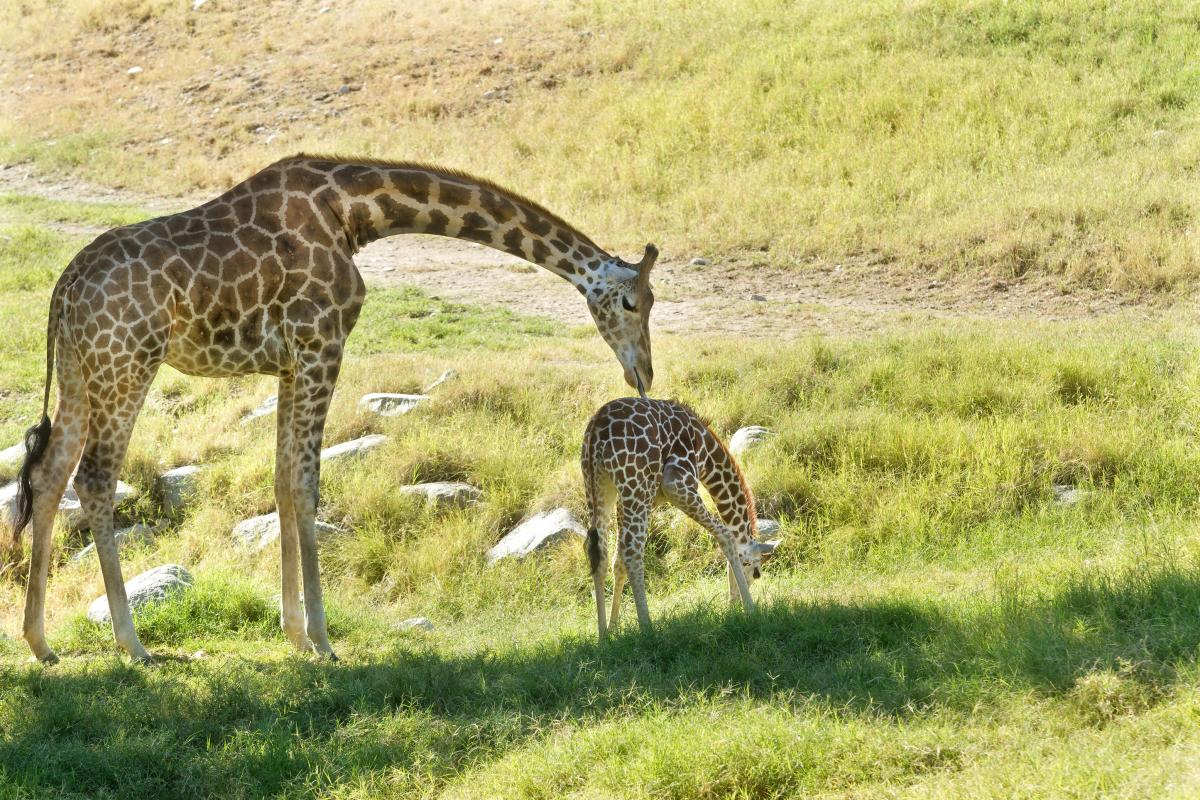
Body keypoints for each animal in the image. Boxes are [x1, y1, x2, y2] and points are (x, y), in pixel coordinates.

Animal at [9, 154, 657, 662]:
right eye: (630, 301)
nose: (645, 374)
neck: (355, 211)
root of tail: (63, 289)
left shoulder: (289, 362)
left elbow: (280, 481)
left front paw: (294, 633)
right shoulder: (322, 343)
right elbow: (306, 484)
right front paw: (322, 639)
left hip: (79, 369)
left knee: (49, 474)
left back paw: (40, 642)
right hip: (128, 362)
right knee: (95, 478)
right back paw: (132, 643)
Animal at [578, 398, 777, 642]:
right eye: (755, 572)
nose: (735, 604)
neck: (705, 453)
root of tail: (597, 426)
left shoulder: (630, 502)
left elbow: (617, 562)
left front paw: (613, 628)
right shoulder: (675, 483)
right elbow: (725, 534)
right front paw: (751, 609)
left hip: (598, 485)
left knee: (598, 551)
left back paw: (602, 637)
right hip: (636, 486)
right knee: (633, 550)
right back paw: (648, 629)